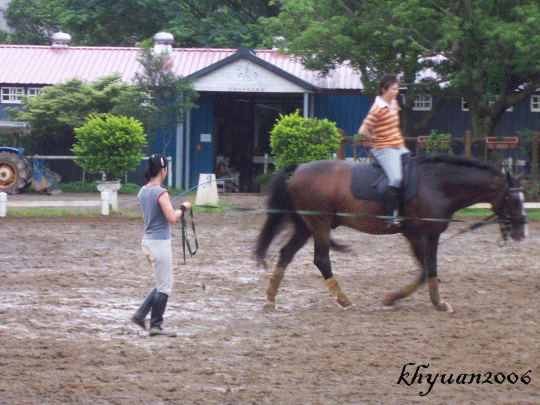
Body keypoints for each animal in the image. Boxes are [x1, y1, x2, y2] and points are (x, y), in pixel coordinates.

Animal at [254, 153, 528, 310]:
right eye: (514, 200)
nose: (522, 231)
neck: (437, 184)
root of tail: (300, 167)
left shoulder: (433, 234)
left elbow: (431, 270)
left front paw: (438, 302)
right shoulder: (415, 234)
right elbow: (424, 271)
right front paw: (392, 297)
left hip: (306, 226)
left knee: (285, 254)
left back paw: (269, 299)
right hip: (319, 225)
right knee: (321, 260)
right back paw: (344, 301)